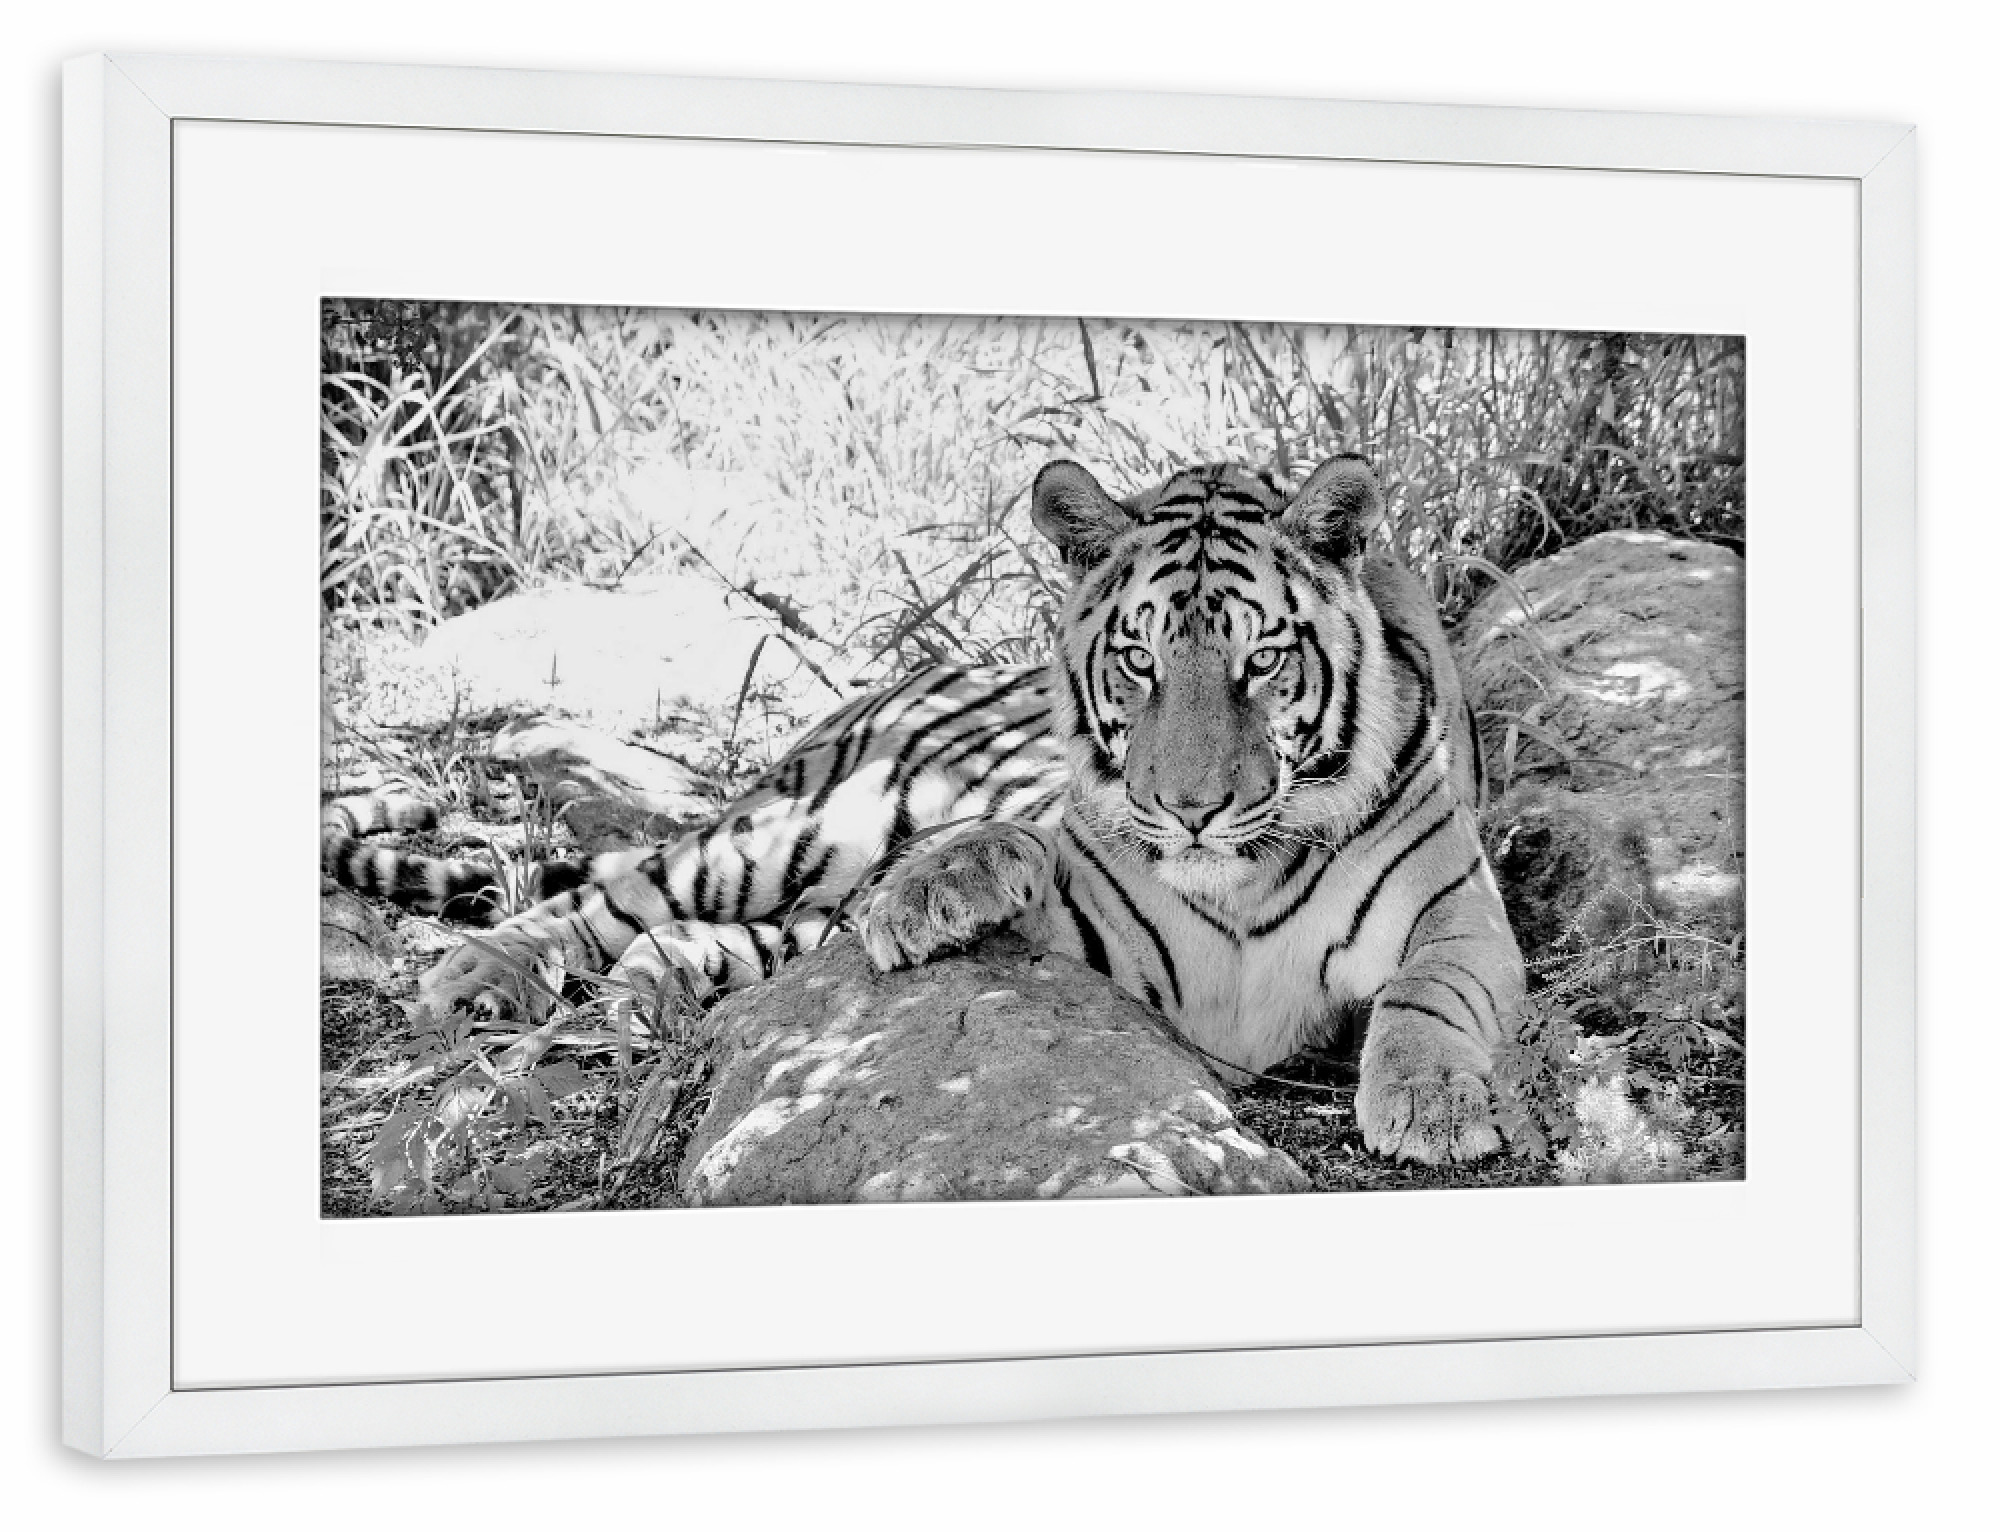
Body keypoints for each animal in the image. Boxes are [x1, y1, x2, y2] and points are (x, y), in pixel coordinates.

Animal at [329, 454, 1525, 1165]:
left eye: (1261, 661)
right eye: (1138, 660)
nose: (1185, 808)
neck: (1238, 876)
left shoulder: (1464, 916)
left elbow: (1427, 994)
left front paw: (1427, 1105)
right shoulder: (1108, 929)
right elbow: (1019, 839)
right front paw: (936, 891)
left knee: (682, 938)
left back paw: (655, 995)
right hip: (786, 834)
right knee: (610, 896)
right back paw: (475, 977)